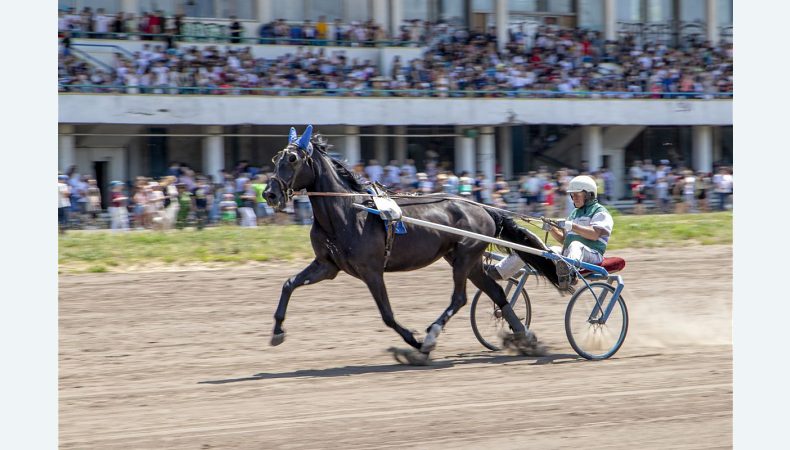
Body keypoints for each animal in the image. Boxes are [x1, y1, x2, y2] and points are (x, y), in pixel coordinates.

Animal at [264, 125, 564, 362]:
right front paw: (277, 331)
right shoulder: (327, 266)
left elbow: (387, 314)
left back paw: (431, 338)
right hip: (468, 260)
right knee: (497, 292)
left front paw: (415, 342)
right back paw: (525, 337)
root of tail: (484, 208)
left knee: (460, 298)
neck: (348, 212)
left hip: (465, 257)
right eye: (276, 157)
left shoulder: (371, 270)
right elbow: (289, 284)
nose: (269, 194)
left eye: (293, 158)